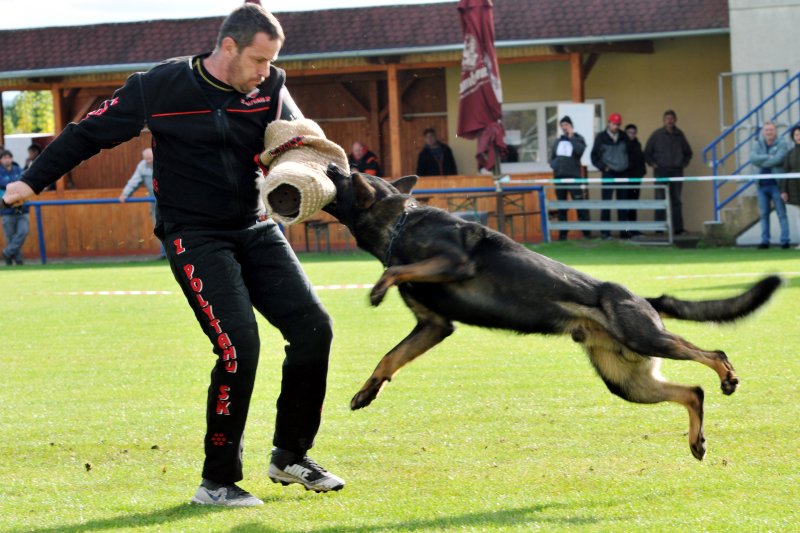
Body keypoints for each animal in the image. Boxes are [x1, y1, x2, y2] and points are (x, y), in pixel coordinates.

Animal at [320, 164, 780, 460]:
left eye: (344, 178)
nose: (330, 164)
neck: (399, 224)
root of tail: (643, 299)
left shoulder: (453, 264)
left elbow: (395, 269)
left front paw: (378, 289)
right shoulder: (433, 326)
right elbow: (389, 358)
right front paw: (367, 392)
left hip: (646, 339)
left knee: (713, 355)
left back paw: (727, 377)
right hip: (627, 383)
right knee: (692, 393)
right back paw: (697, 440)